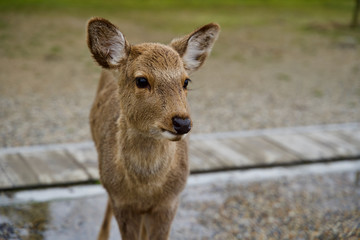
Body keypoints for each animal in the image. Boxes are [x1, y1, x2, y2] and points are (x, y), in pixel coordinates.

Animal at [87, 17, 219, 240]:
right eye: (141, 80)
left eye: (186, 81)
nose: (182, 123)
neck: (146, 188)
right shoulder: (122, 202)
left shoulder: (170, 201)